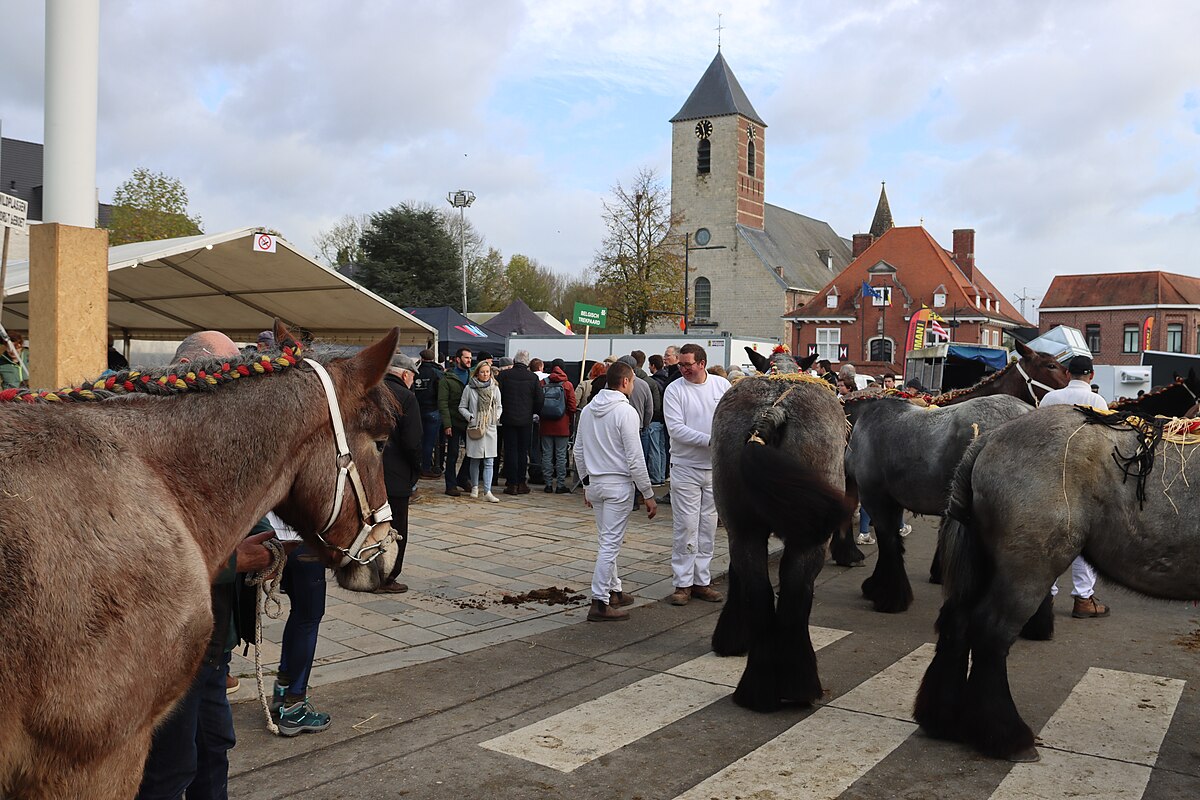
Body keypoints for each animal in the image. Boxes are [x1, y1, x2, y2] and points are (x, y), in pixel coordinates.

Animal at [710, 347, 854, 710]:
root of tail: (772, 412)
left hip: (743, 528)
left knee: (759, 591)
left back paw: (758, 689)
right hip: (808, 539)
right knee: (795, 594)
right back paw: (798, 684)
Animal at [907, 407, 1200, 762]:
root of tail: (990, 437)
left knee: (957, 624)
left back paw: (942, 720)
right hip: (1028, 572)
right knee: (991, 633)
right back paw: (1006, 737)